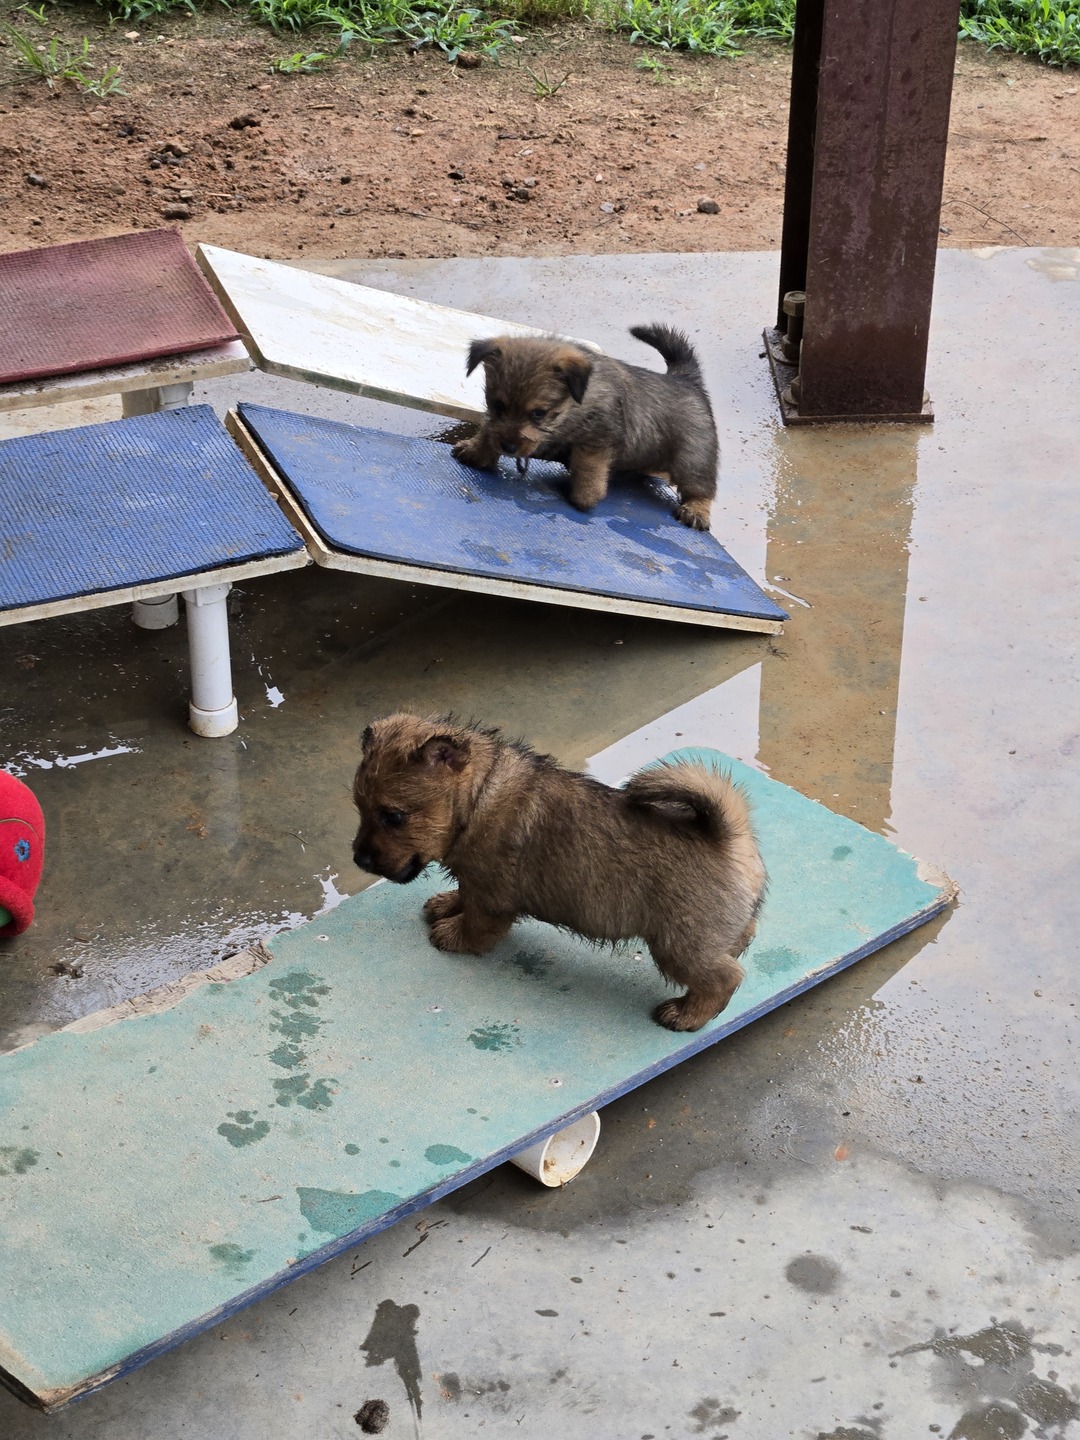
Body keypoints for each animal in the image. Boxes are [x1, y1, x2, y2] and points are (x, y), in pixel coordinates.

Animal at [351, 714, 766, 1032]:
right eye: (360, 808)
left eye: (393, 817)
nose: (359, 860)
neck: (478, 797)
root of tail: (727, 838)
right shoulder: (473, 881)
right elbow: (463, 896)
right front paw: (446, 904)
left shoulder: (490, 896)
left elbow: (478, 925)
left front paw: (455, 936)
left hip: (679, 945)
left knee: (724, 979)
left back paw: (686, 1015)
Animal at [450, 325, 719, 531]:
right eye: (498, 405)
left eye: (538, 413)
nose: (508, 446)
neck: (571, 407)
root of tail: (685, 379)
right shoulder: (498, 424)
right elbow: (489, 429)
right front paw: (475, 450)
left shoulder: (597, 440)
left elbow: (589, 468)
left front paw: (585, 497)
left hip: (692, 459)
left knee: (701, 488)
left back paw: (695, 510)